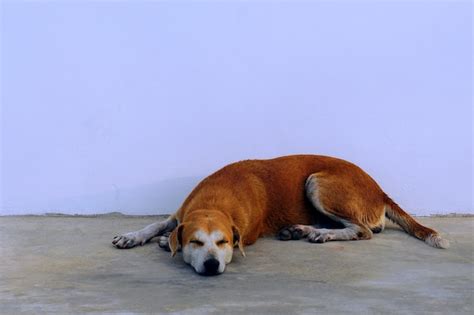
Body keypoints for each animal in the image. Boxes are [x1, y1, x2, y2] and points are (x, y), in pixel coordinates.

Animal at [113, 156, 450, 276]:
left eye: (224, 243)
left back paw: (319, 233)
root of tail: (380, 190)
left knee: (362, 230)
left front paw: (160, 241)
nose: (211, 265)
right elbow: (157, 222)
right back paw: (301, 229)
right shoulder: (180, 213)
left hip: (317, 182)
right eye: (196, 242)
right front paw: (134, 236)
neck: (216, 198)